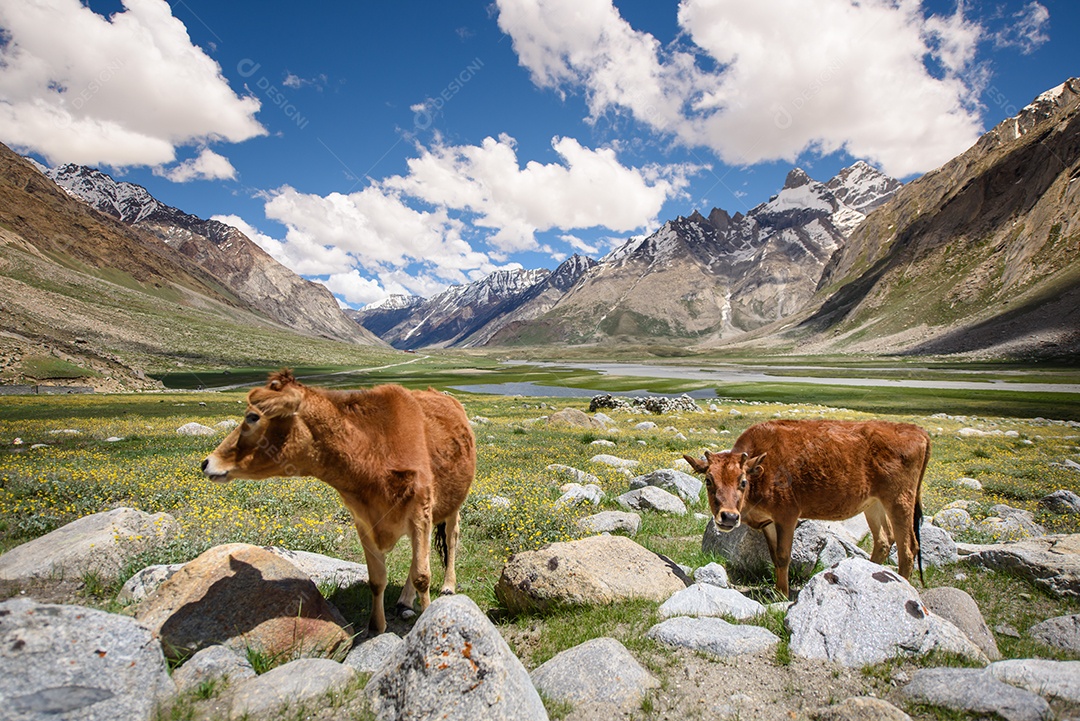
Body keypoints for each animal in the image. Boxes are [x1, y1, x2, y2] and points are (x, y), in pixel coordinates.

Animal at [201, 370, 476, 635]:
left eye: (252, 417)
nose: (207, 462)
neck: (373, 452)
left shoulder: (420, 511)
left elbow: (422, 575)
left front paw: (428, 617)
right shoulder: (363, 520)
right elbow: (377, 579)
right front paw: (376, 629)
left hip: (453, 504)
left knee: (451, 537)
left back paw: (448, 585)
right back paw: (404, 601)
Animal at [684, 419, 930, 598]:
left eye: (742, 481)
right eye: (709, 480)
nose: (728, 517)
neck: (761, 471)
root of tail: (918, 430)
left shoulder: (787, 515)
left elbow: (784, 556)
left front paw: (782, 596)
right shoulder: (768, 522)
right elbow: (774, 557)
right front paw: (779, 590)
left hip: (899, 501)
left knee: (908, 548)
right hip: (874, 504)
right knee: (884, 539)